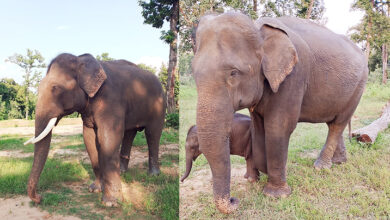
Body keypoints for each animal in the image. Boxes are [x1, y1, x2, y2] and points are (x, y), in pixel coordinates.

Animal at [23, 52, 165, 206]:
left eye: (55, 88)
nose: (40, 197)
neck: (81, 60)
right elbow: (89, 138)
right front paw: (94, 189)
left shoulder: (111, 100)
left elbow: (108, 138)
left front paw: (111, 203)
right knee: (129, 134)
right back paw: (122, 172)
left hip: (159, 106)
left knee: (152, 134)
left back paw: (154, 175)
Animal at [192, 12, 368, 213]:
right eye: (193, 73)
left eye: (233, 73)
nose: (234, 200)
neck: (258, 29)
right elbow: (258, 128)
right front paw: (258, 177)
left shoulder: (294, 76)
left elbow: (278, 127)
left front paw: (275, 194)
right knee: (334, 123)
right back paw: (338, 162)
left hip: (359, 87)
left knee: (338, 124)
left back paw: (321, 167)